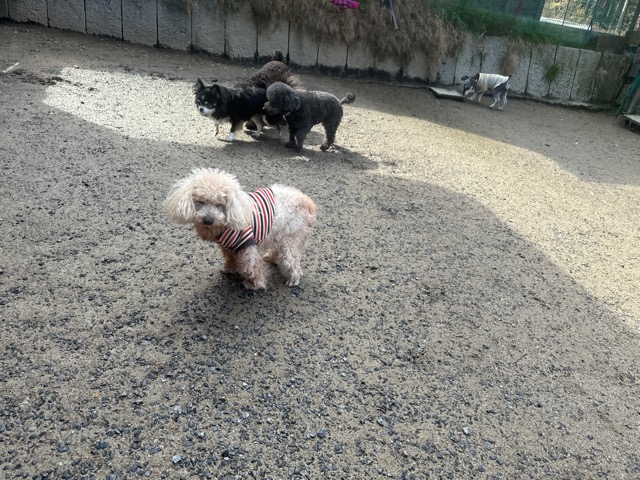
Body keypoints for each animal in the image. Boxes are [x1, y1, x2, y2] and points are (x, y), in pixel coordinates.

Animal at [164, 168, 317, 290]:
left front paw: (254, 284)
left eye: (220, 204)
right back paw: (272, 258)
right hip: (280, 234)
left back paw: (293, 279)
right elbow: (231, 259)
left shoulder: (247, 245)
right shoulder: (228, 247)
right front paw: (230, 269)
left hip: (290, 238)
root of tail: (307, 201)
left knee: (292, 261)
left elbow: (252, 267)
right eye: (200, 202)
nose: (208, 220)